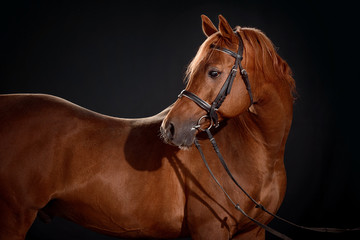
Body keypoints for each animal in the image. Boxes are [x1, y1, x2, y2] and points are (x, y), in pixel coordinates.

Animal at [0, 15, 296, 240]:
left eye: (213, 72)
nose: (171, 128)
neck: (256, 155)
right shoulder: (210, 230)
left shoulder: (252, 232)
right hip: (13, 219)